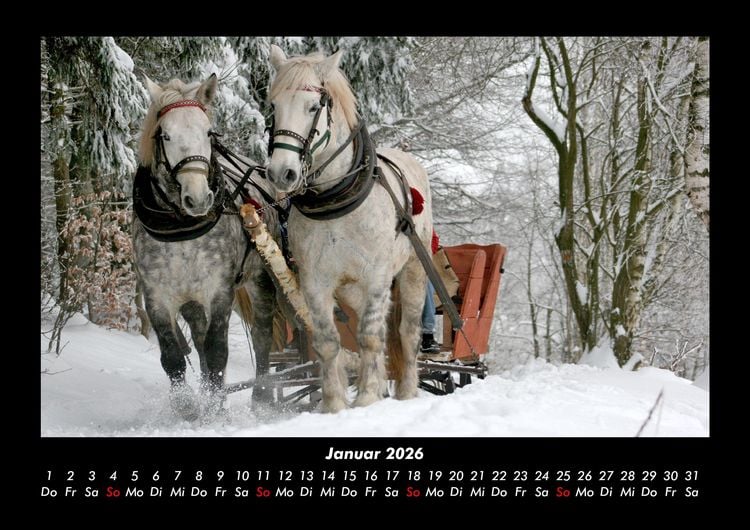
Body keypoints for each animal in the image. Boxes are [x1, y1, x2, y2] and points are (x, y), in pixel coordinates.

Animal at [132, 74, 280, 420]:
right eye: (166, 135)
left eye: (208, 132)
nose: (198, 198)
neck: (181, 229)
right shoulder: (157, 295)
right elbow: (173, 356)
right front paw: (188, 406)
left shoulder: (220, 290)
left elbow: (217, 351)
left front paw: (216, 410)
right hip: (191, 300)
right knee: (198, 339)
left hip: (259, 279)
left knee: (262, 334)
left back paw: (262, 397)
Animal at [264, 45, 433, 413]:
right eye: (274, 106)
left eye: (313, 107)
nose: (281, 173)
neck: (336, 199)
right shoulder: (315, 282)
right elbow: (329, 341)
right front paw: (334, 404)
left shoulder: (377, 277)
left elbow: (369, 337)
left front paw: (367, 397)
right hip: (351, 290)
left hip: (413, 269)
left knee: (407, 331)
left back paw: (406, 391)